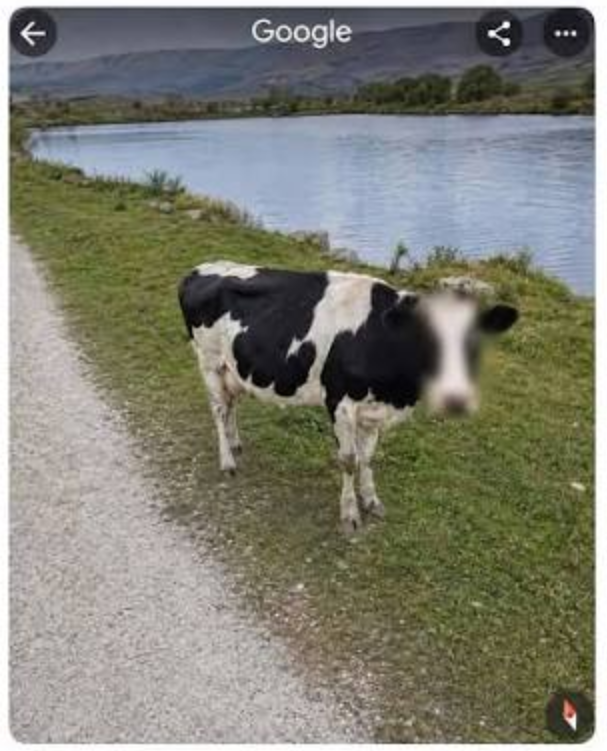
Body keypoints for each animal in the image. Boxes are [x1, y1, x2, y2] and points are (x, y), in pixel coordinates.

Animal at [178, 260, 518, 535]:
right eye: (426, 339)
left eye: (474, 343)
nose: (455, 400)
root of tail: (200, 269)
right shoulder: (340, 403)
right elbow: (349, 460)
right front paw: (350, 514)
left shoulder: (374, 409)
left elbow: (367, 458)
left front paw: (371, 500)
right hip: (209, 361)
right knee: (218, 409)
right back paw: (227, 460)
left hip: (232, 368)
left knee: (231, 403)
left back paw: (236, 443)